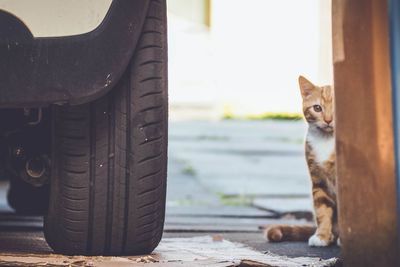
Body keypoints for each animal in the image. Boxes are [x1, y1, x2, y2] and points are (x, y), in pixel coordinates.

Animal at [264, 75, 340, 247]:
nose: (328, 120)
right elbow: (322, 209)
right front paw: (322, 235)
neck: (326, 140)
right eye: (317, 108)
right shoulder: (318, 180)